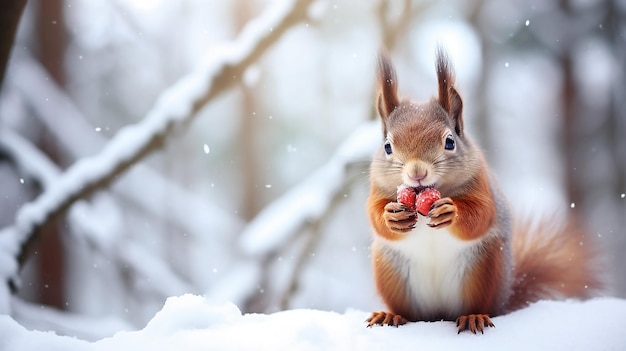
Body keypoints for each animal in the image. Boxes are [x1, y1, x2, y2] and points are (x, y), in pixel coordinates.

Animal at [364, 48, 604, 334]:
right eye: (387, 146)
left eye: (450, 141)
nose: (416, 173)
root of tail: (437, 315)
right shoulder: (377, 187)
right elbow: (374, 214)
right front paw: (392, 216)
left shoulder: (481, 184)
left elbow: (480, 214)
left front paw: (451, 212)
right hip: (391, 273)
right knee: (407, 312)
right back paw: (390, 315)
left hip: (483, 269)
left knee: (478, 305)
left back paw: (473, 317)